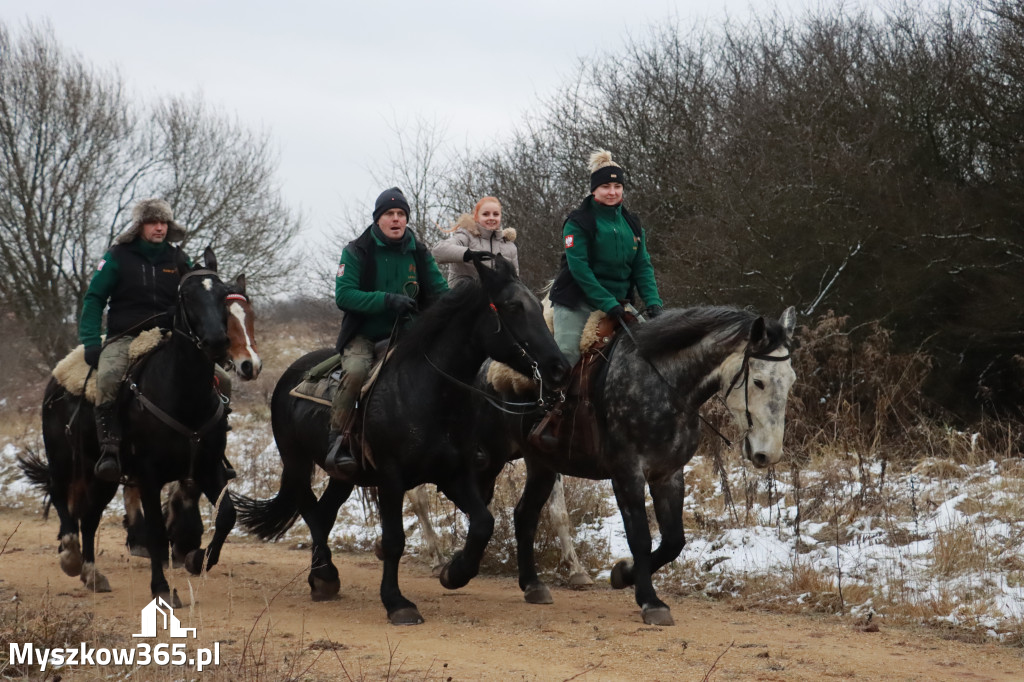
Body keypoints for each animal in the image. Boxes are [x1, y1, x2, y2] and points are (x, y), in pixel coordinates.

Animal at [23, 246, 234, 602]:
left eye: (222, 293)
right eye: (187, 296)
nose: (217, 341)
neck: (183, 395)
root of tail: (55, 380)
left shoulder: (208, 468)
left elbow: (226, 516)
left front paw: (197, 559)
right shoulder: (148, 476)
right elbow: (156, 533)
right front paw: (161, 588)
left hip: (102, 474)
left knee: (90, 517)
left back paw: (92, 574)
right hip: (63, 458)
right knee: (60, 496)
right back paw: (70, 555)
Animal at [232, 254, 569, 622]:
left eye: (537, 304)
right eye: (512, 306)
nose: (559, 368)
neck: (428, 392)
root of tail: (290, 375)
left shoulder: (454, 474)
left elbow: (483, 522)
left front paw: (454, 573)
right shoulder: (391, 477)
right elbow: (394, 540)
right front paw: (397, 602)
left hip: (344, 475)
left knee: (324, 511)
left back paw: (322, 577)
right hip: (295, 460)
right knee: (309, 508)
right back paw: (325, 575)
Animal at [475, 305, 794, 622]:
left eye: (791, 380)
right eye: (758, 381)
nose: (769, 454)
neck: (660, 385)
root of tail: (483, 371)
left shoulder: (668, 475)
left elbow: (673, 541)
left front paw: (623, 574)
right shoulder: (627, 474)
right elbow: (640, 537)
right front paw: (650, 601)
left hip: (541, 465)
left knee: (525, 515)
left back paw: (532, 584)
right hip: (488, 457)